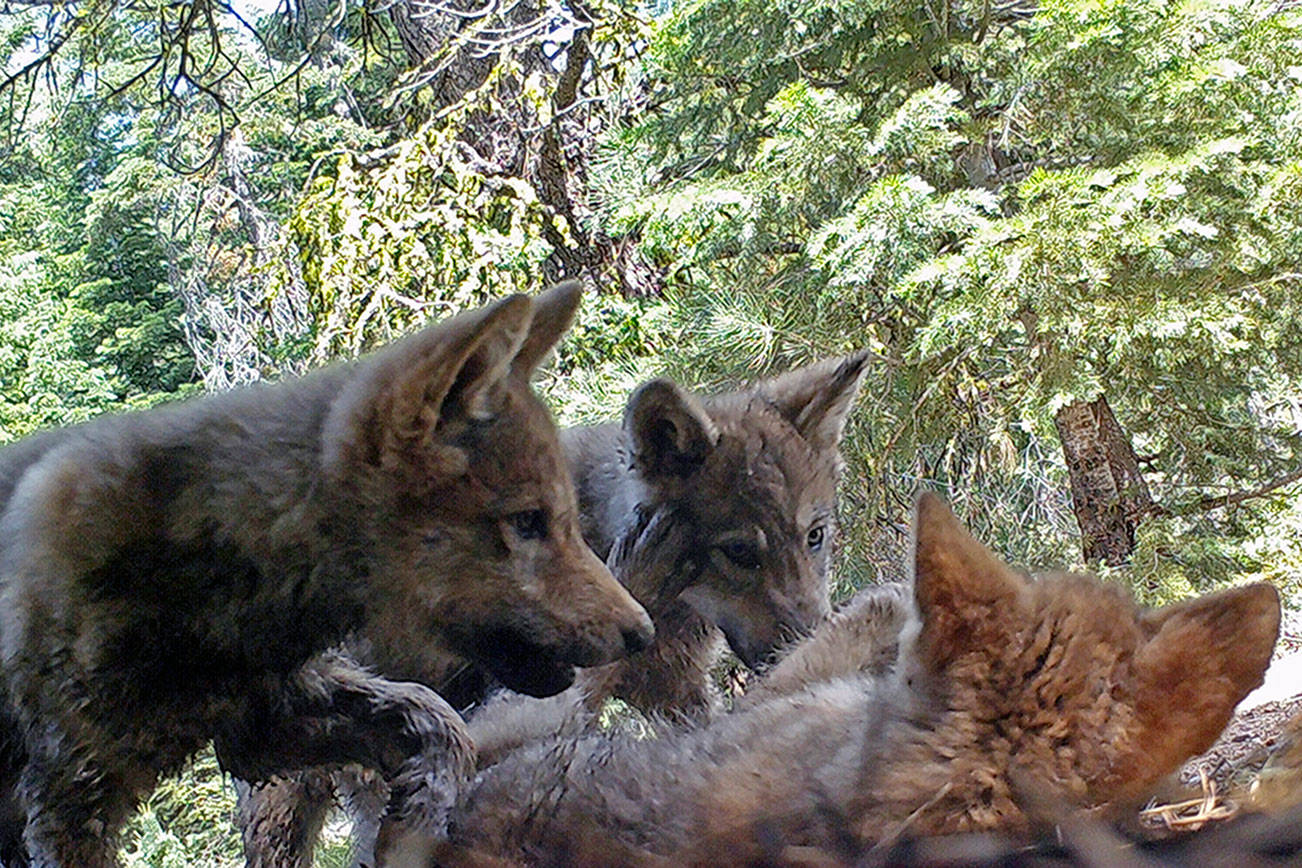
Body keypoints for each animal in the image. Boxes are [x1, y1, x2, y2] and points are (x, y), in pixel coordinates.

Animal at [0, 282, 654, 867]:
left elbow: (440, 726)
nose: (643, 633)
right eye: (527, 522)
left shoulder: (266, 725)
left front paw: (412, 819)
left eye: (567, 520)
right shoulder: (69, 798)